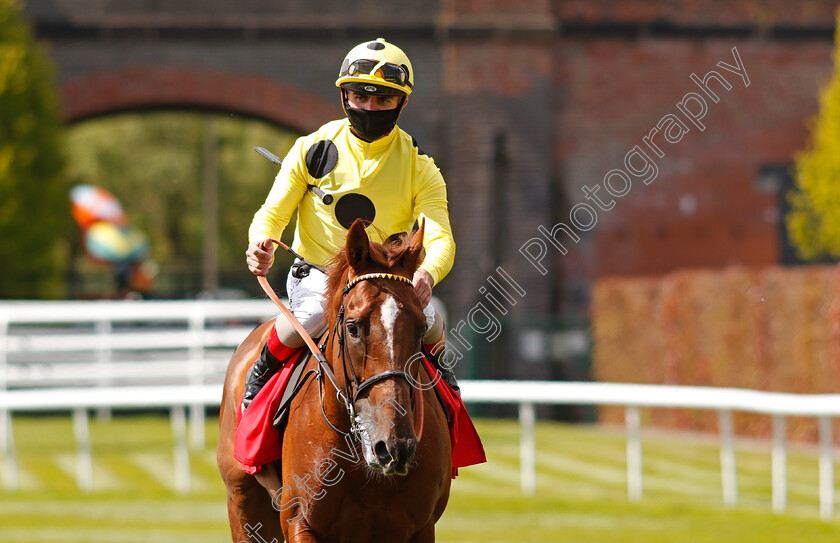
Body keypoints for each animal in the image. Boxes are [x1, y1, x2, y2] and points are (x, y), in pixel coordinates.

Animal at [218, 222, 452, 543]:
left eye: (420, 329)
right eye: (352, 327)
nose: (394, 446)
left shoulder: (419, 527)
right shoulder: (299, 522)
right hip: (244, 505)